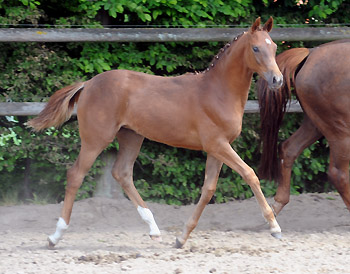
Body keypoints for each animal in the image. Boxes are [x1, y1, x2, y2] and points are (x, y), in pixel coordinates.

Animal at [28, 17, 284, 248]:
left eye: (274, 46)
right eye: (256, 48)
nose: (277, 79)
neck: (217, 92)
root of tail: (88, 84)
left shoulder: (217, 148)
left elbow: (208, 189)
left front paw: (181, 238)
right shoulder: (217, 145)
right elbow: (250, 174)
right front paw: (274, 227)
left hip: (131, 136)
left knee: (122, 173)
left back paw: (154, 229)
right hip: (96, 139)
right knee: (76, 175)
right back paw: (55, 236)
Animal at [258, 40, 350, 216]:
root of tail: (310, 54)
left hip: (315, 125)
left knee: (288, 149)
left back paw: (278, 204)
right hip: (340, 130)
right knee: (339, 174)